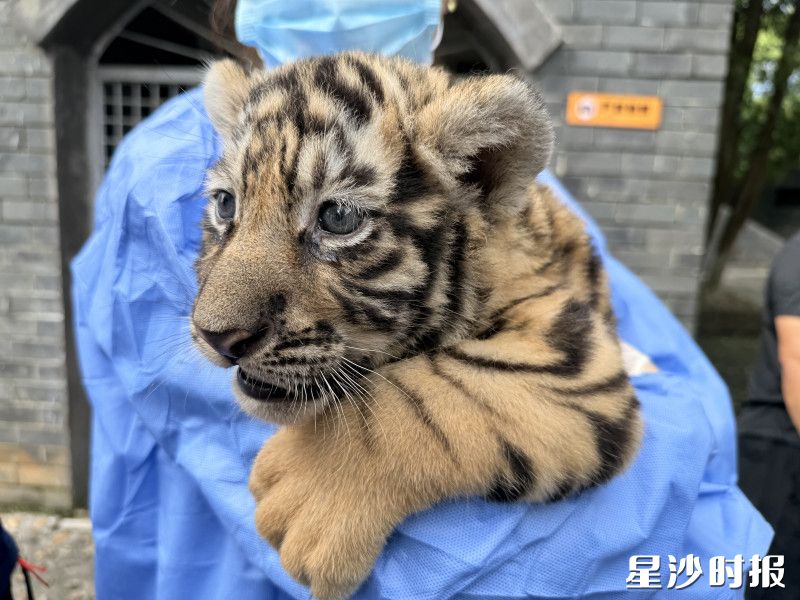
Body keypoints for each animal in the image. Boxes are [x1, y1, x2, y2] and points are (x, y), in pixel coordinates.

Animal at [191, 52, 644, 600]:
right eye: (226, 204)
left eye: (338, 218)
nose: (217, 336)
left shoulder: (574, 355)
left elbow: (435, 393)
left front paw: (304, 494)